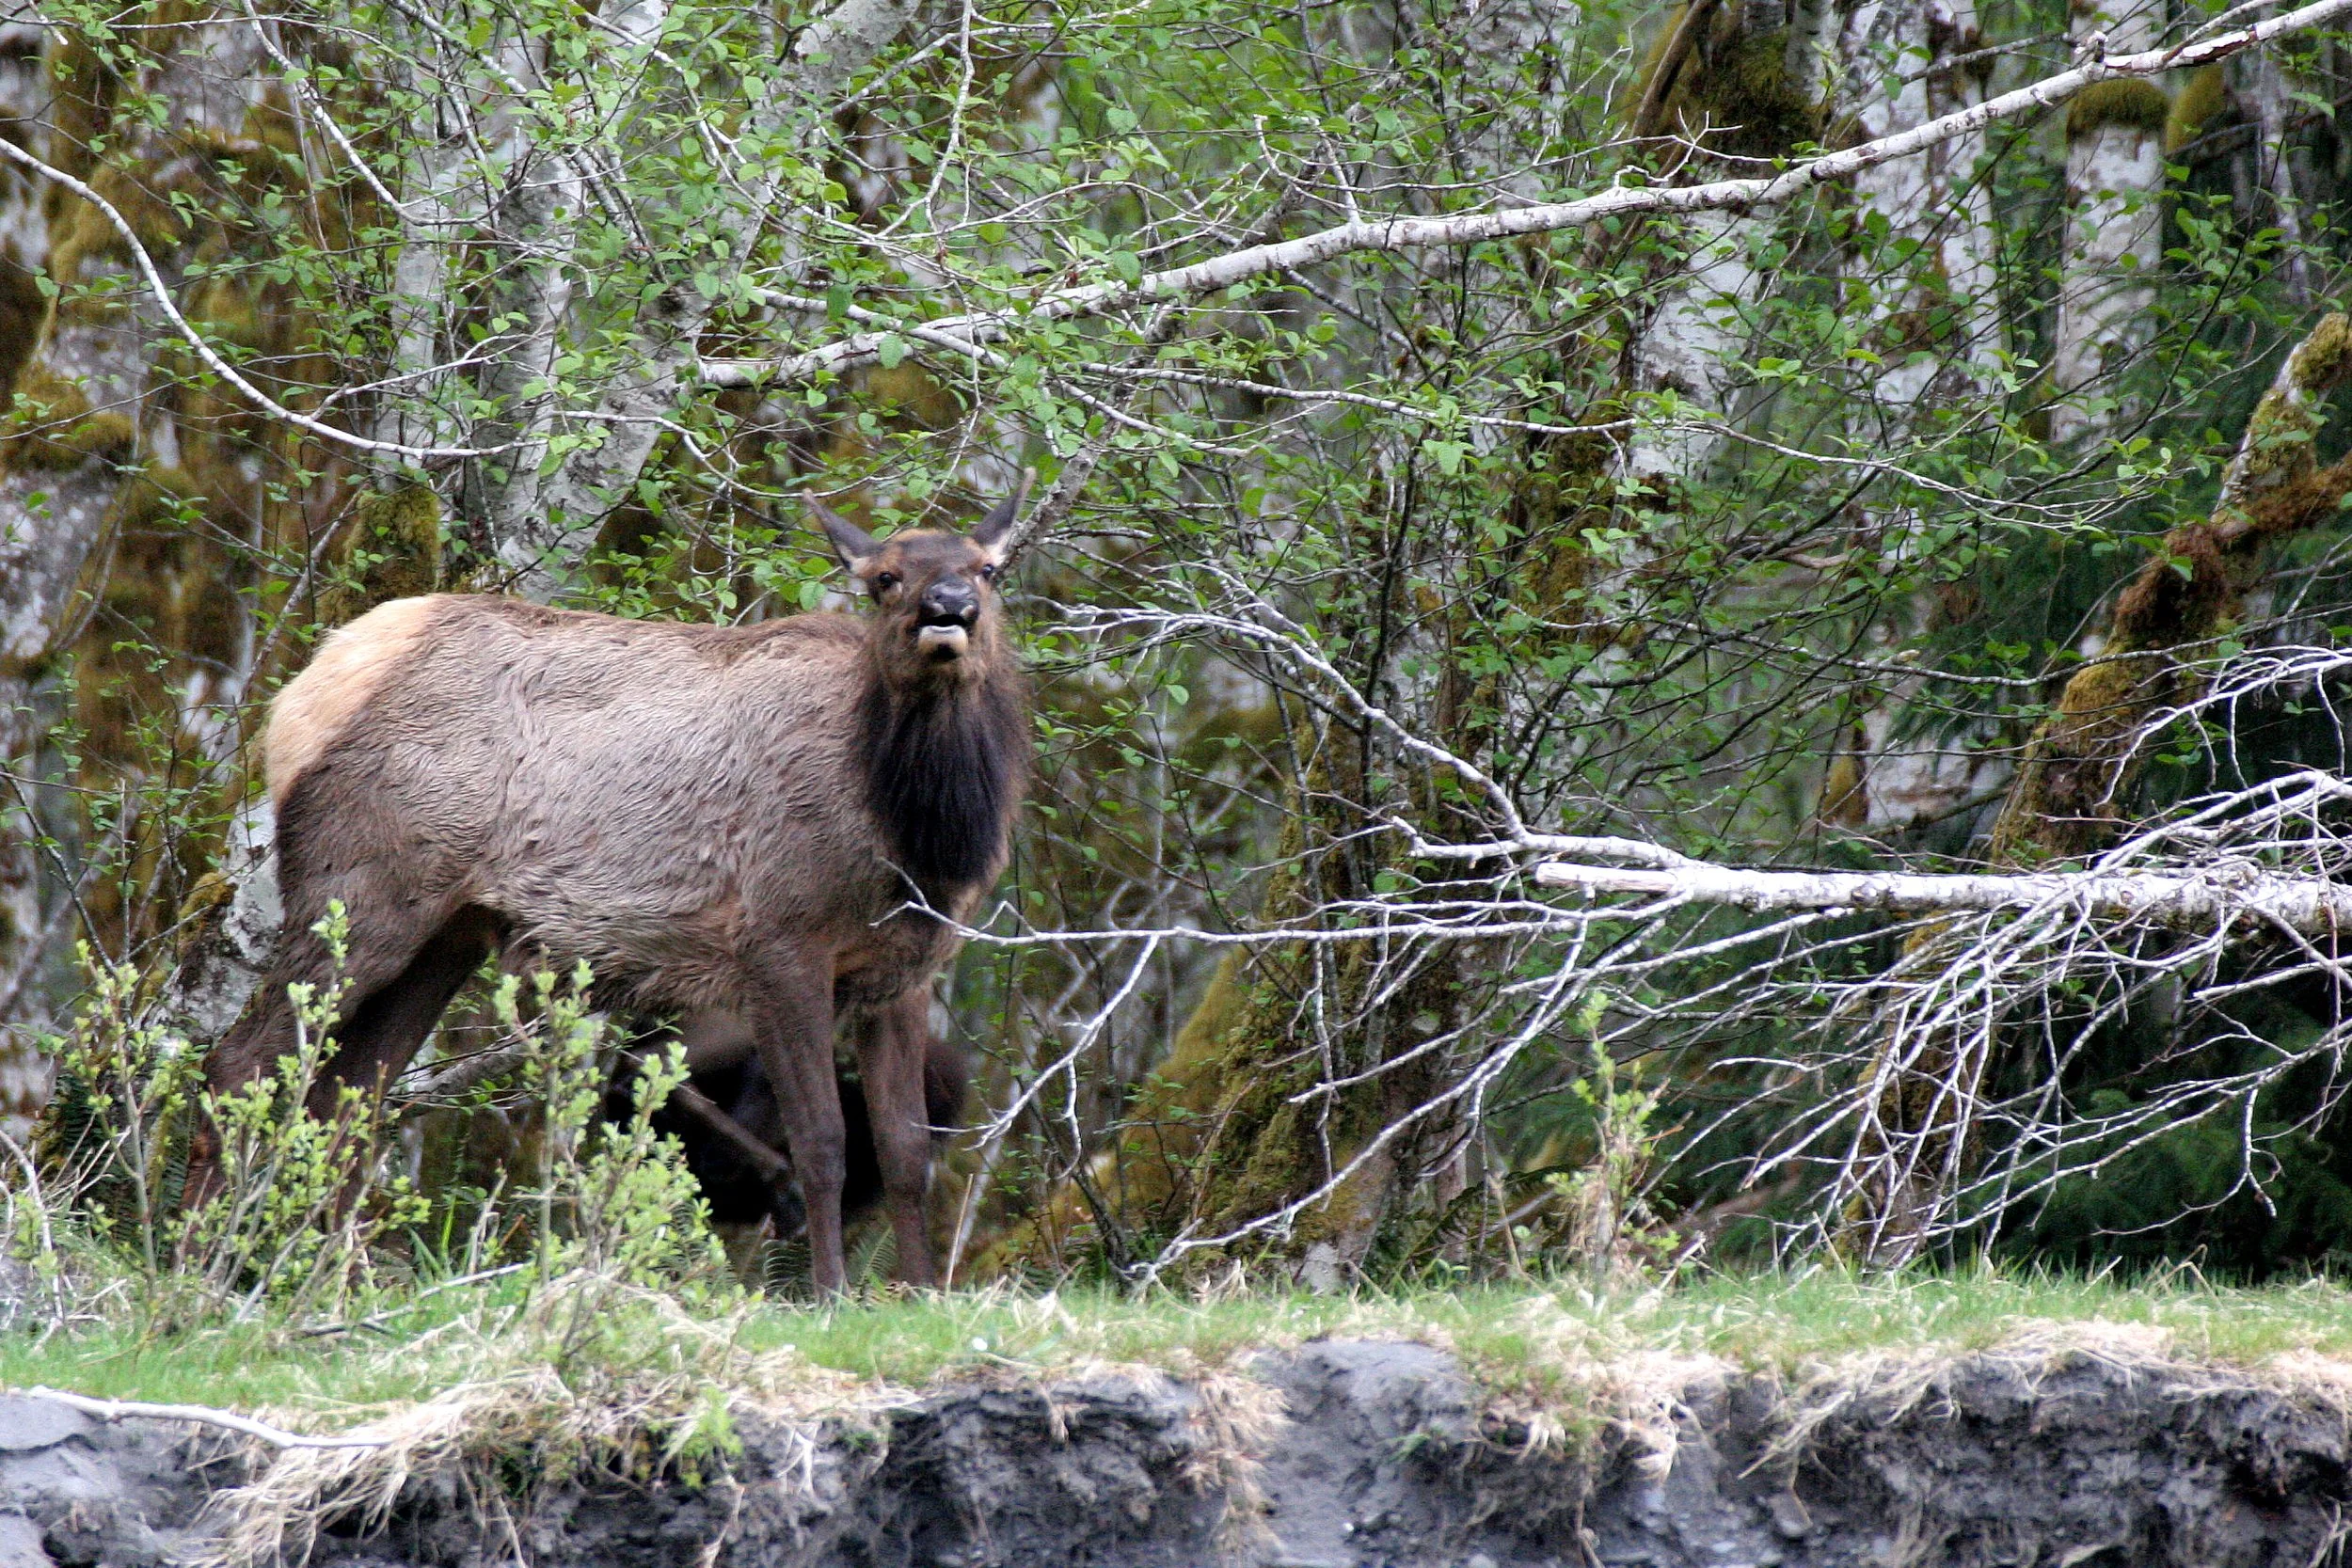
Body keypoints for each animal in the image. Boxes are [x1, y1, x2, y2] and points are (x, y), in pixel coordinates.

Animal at [193, 484, 1033, 1292]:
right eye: (884, 579)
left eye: (989, 569)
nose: (947, 608)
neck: (917, 843)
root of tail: (294, 700)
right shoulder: (779, 940)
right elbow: (823, 1142)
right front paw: (830, 1296)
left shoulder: (904, 970)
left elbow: (906, 1153)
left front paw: (920, 1292)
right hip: (358, 889)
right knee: (240, 1063)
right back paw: (200, 1266)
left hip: (445, 933)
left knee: (351, 1095)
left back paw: (334, 1280)